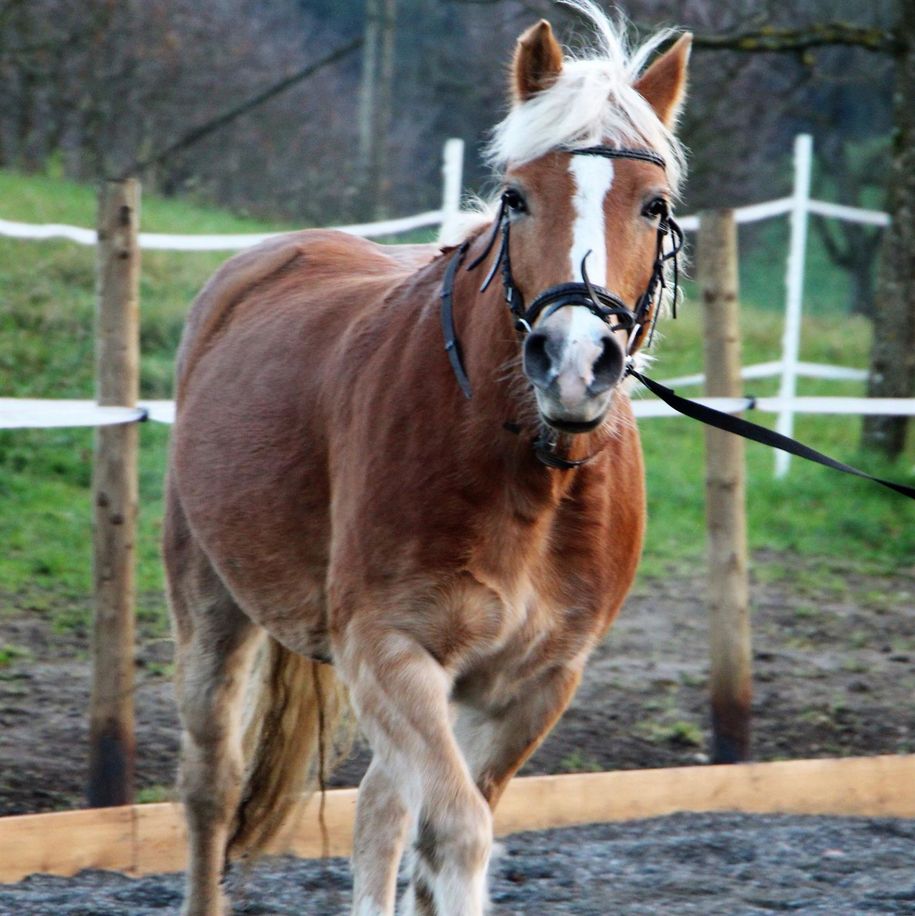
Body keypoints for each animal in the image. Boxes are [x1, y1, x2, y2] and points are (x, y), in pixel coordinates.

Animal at [166, 3, 688, 912]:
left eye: (653, 206)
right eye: (515, 197)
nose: (574, 361)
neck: (523, 475)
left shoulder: (533, 684)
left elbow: (427, 827)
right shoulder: (390, 651)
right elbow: (456, 833)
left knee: (378, 809)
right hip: (211, 605)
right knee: (213, 786)